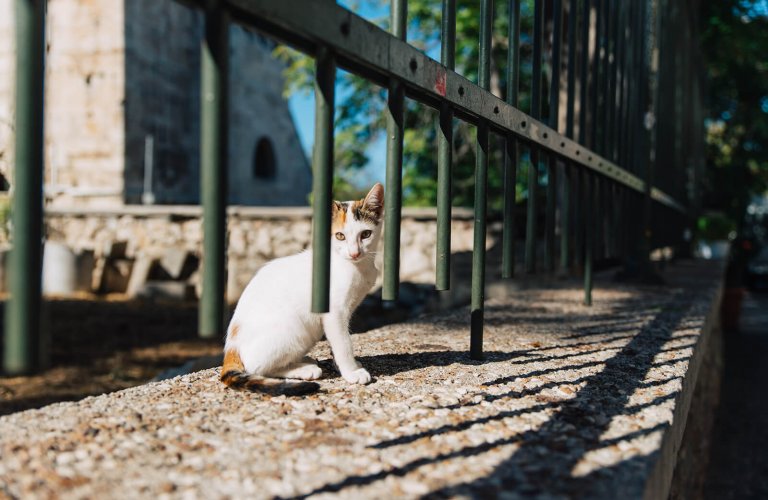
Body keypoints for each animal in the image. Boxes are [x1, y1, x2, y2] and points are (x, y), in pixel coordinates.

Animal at [220, 183, 384, 394]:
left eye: (365, 234)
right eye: (340, 236)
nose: (354, 253)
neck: (356, 266)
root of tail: (232, 348)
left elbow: (337, 342)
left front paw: (345, 366)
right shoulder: (334, 312)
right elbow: (343, 343)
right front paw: (351, 372)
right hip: (294, 330)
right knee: (256, 367)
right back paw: (304, 370)